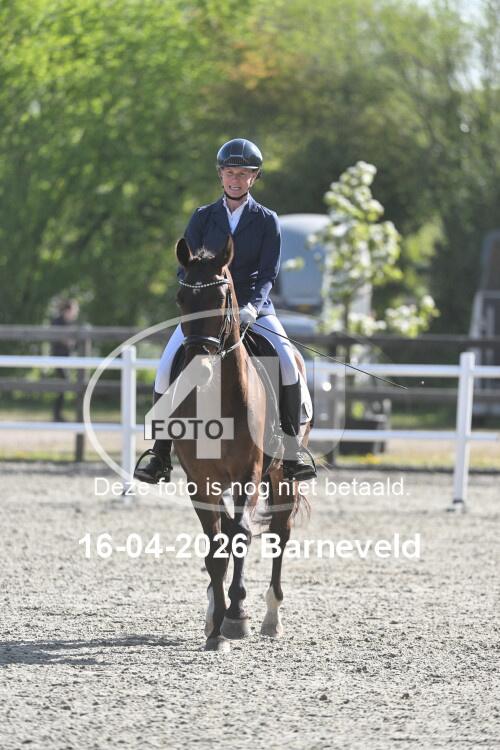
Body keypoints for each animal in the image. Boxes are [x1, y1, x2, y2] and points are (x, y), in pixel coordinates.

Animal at [168, 234, 311, 651]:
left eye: (221, 297)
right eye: (182, 299)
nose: (198, 367)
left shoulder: (250, 472)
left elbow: (243, 537)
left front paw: (234, 616)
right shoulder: (200, 479)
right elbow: (216, 546)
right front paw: (216, 627)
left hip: (281, 477)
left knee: (279, 533)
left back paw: (269, 616)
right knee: (229, 532)